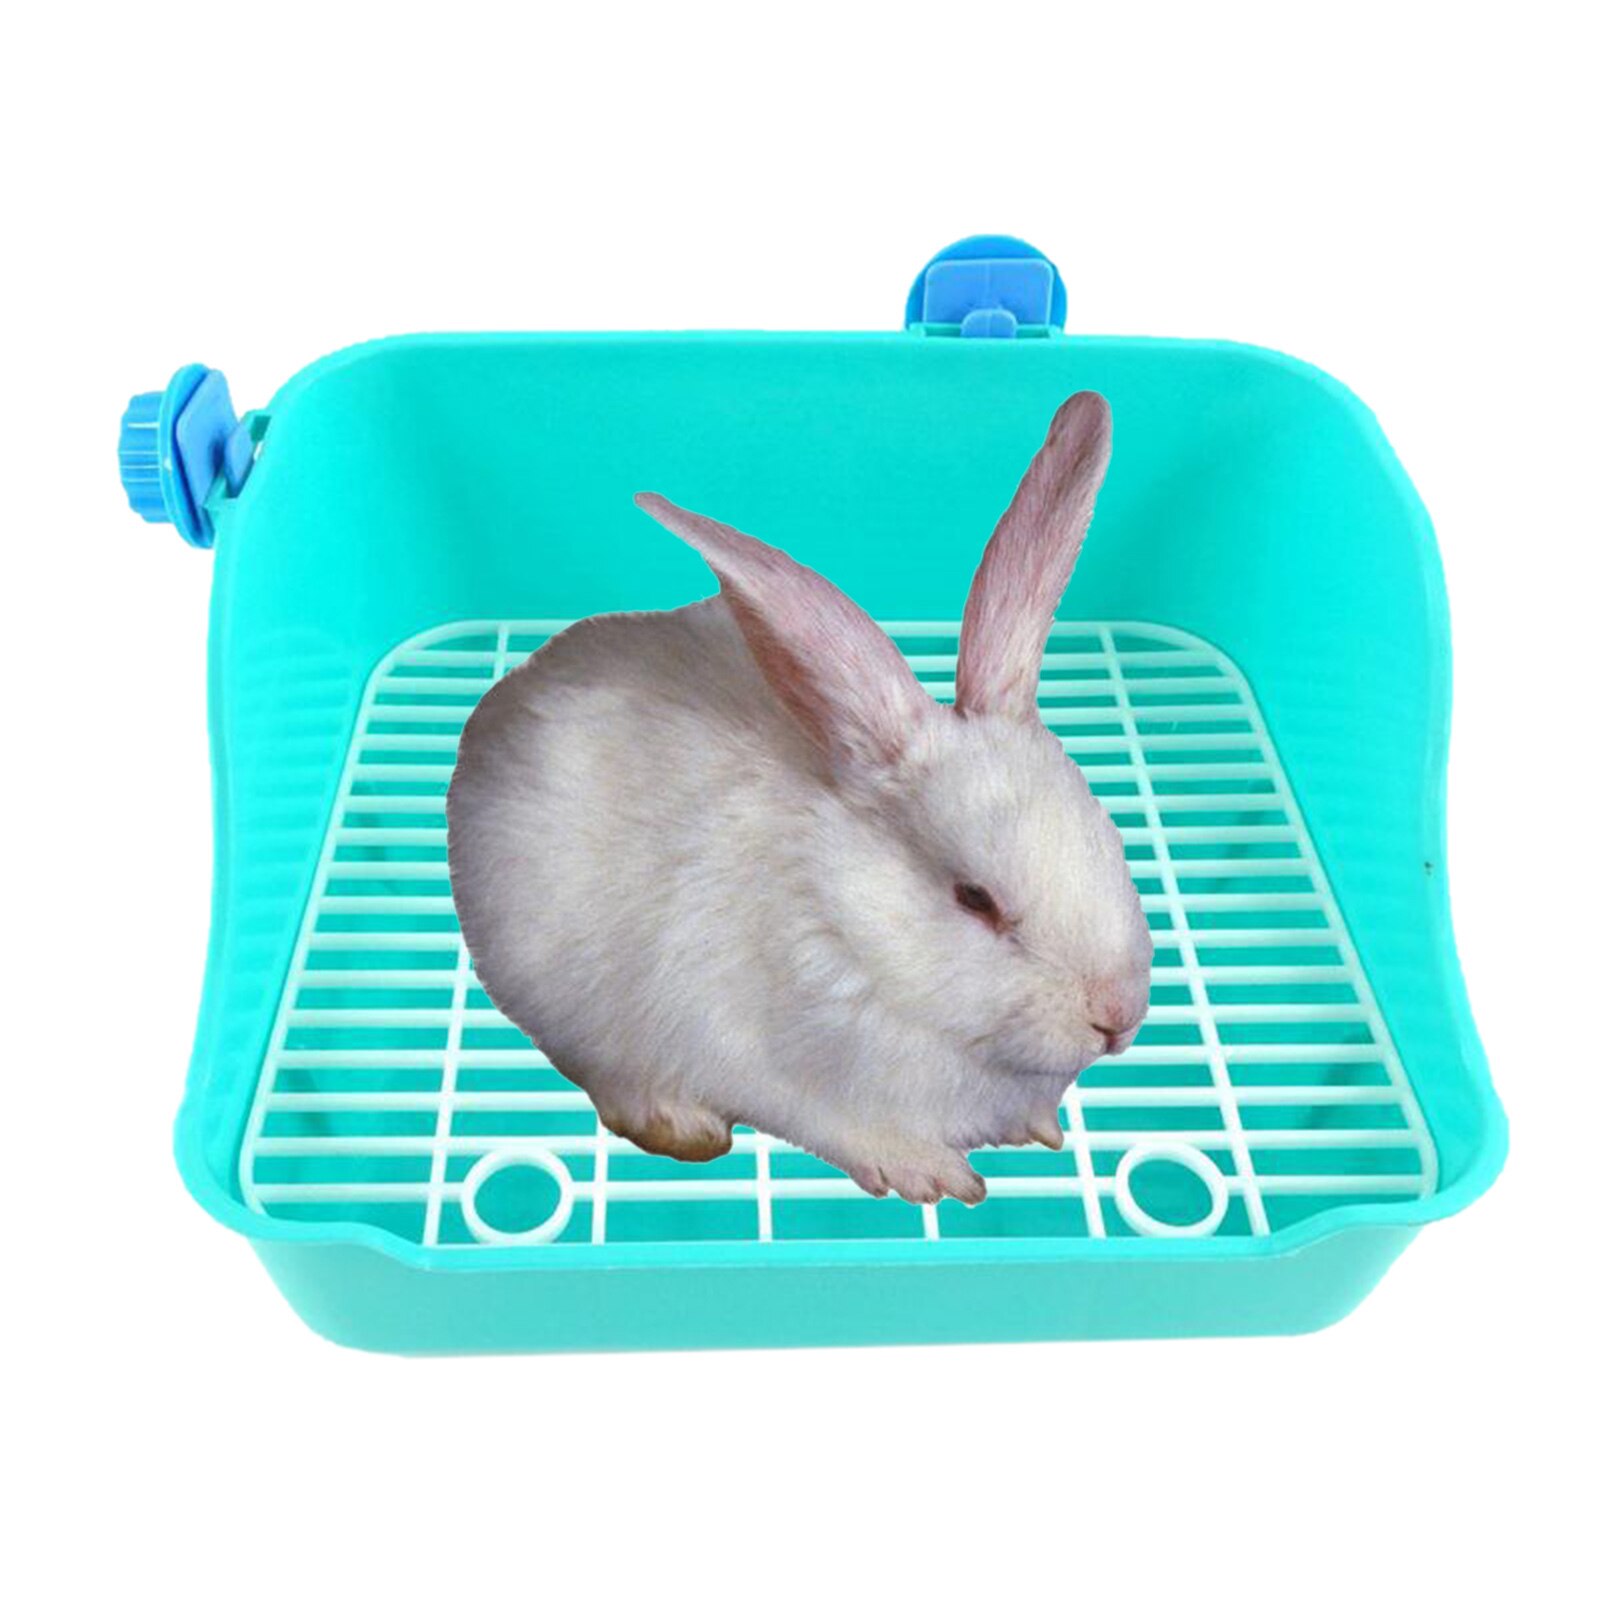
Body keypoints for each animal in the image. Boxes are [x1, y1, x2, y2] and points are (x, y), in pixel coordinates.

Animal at [447, 390, 1151, 1205]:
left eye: (1110, 838)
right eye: (974, 898)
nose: (1119, 1016)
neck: (848, 919)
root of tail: (506, 695)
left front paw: (1042, 1128)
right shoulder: (768, 1067)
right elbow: (838, 1125)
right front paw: (932, 1175)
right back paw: (679, 1124)